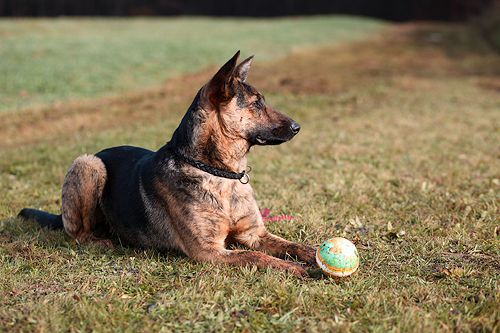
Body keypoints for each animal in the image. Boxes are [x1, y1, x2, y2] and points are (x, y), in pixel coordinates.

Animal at [21, 50, 316, 276]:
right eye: (256, 104)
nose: (298, 127)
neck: (221, 174)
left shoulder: (255, 235)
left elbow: (299, 246)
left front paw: (315, 256)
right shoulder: (209, 251)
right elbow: (255, 257)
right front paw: (299, 269)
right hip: (88, 164)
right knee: (78, 235)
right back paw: (103, 241)